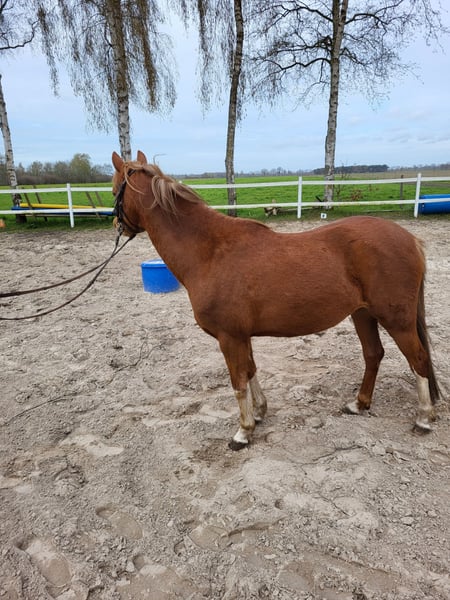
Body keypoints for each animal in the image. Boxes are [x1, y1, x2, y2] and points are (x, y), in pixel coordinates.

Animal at [112, 150, 440, 450]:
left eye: (115, 190)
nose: (119, 226)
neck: (210, 252)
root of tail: (410, 240)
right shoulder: (241, 336)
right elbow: (250, 371)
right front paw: (259, 413)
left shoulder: (229, 337)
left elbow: (238, 382)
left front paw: (243, 432)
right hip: (363, 314)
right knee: (374, 355)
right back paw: (359, 404)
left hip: (396, 319)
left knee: (418, 359)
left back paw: (424, 418)